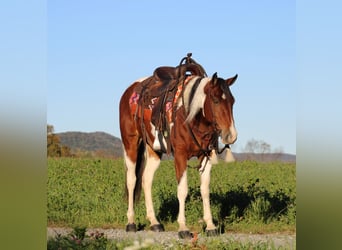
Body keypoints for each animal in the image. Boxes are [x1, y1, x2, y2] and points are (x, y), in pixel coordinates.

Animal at [119, 58, 238, 238]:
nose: (231, 135)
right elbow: (182, 190)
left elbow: (205, 190)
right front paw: (183, 228)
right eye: (216, 100)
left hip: (154, 150)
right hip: (131, 144)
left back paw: (154, 222)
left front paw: (210, 226)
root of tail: (130, 90)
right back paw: (131, 222)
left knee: (146, 180)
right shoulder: (180, 155)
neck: (190, 114)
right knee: (132, 180)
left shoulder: (206, 155)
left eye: (232, 101)